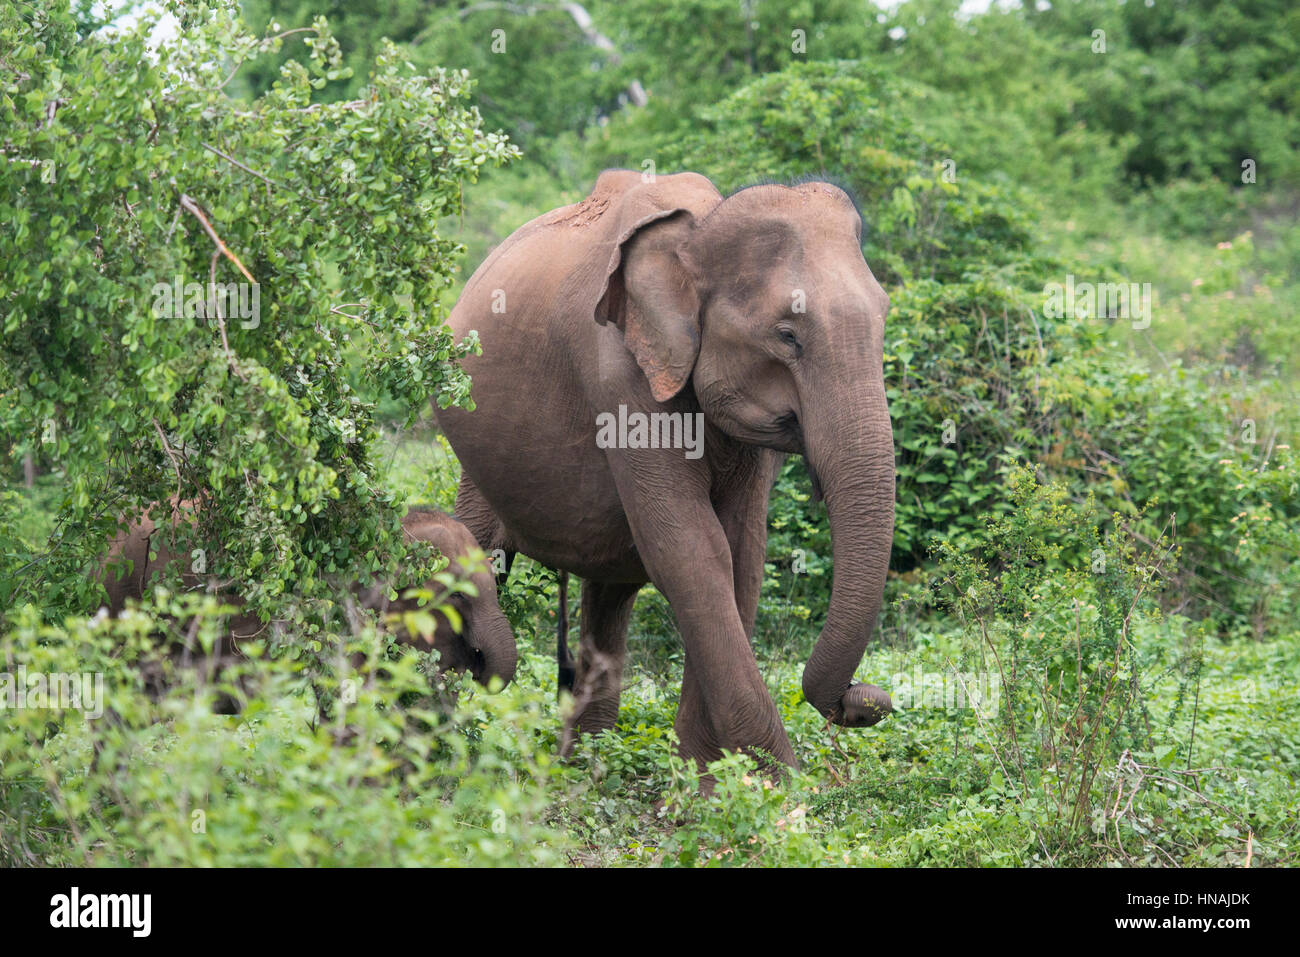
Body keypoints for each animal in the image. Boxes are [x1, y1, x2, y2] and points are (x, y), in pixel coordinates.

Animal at [436, 170, 894, 769]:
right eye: (787, 335)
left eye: (885, 320)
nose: (867, 699)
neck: (697, 238)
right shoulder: (621, 380)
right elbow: (692, 550)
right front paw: (779, 786)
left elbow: (740, 552)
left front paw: (714, 778)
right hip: (477, 462)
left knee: (608, 596)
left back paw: (585, 763)